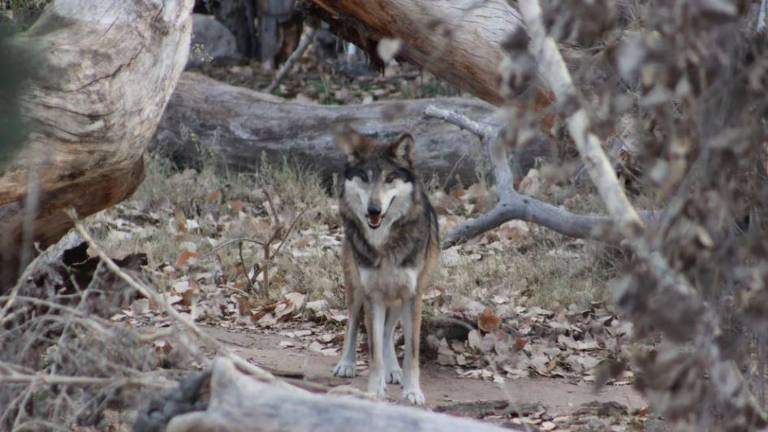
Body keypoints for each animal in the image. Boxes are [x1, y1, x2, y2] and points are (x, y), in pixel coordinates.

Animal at [331, 127, 439, 405]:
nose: (373, 209)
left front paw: (412, 391)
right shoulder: (373, 296)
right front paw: (374, 390)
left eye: (390, 178)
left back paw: (394, 371)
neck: (385, 243)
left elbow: (411, 352)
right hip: (357, 290)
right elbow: (374, 352)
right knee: (353, 324)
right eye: (365, 178)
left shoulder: (412, 295)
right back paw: (346, 364)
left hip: (399, 301)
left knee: (388, 333)